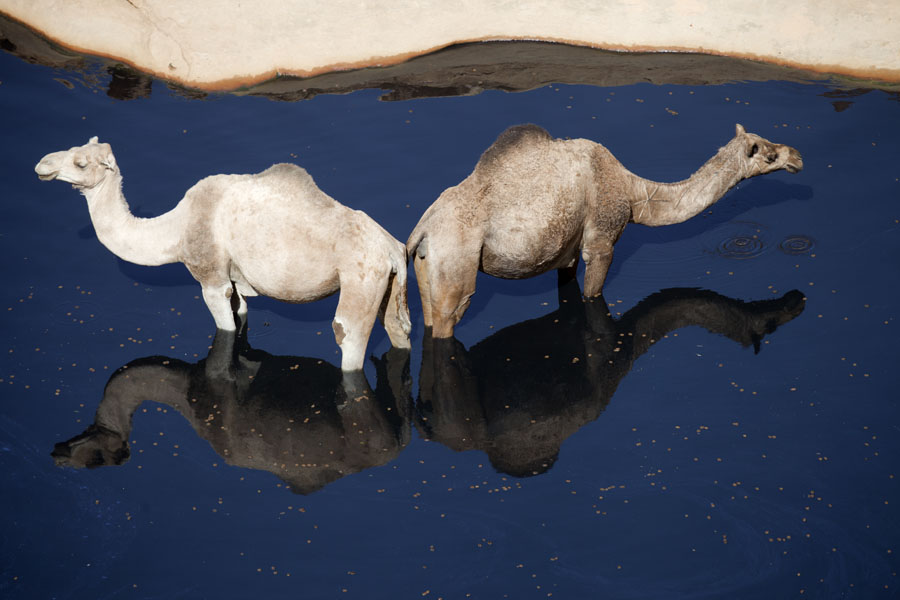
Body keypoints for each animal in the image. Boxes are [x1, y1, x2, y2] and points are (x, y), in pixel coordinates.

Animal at [33, 137, 414, 370]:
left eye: (81, 163)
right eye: (72, 148)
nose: (42, 164)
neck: (176, 229)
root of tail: (393, 249)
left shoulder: (211, 276)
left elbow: (223, 328)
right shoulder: (235, 279)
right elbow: (241, 310)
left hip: (361, 277)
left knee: (348, 334)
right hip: (387, 283)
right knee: (398, 329)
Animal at [408, 123, 800, 338]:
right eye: (767, 154)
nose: (796, 155)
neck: (635, 193)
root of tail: (421, 231)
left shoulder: (566, 252)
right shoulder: (601, 241)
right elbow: (593, 294)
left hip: (428, 270)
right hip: (455, 265)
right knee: (448, 318)